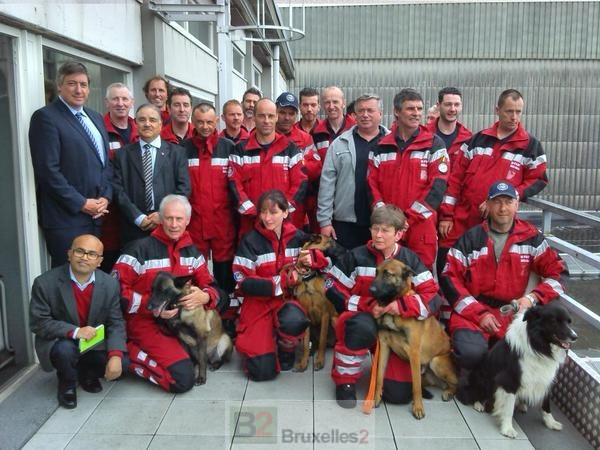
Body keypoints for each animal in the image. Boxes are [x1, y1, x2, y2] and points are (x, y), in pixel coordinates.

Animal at [286, 234, 346, 370]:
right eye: (331, 242)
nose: (346, 251)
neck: (308, 278)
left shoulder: (325, 315)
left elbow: (323, 340)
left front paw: (320, 361)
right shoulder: (306, 316)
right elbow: (305, 344)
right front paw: (304, 362)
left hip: (334, 320)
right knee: (311, 342)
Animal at [368, 258, 458, 420]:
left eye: (388, 274)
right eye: (376, 272)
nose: (370, 290)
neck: (393, 307)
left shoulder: (414, 353)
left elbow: (416, 387)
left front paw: (418, 408)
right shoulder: (384, 346)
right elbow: (379, 376)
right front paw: (377, 397)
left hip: (436, 361)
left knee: (456, 383)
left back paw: (448, 392)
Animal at [460, 300, 576, 438]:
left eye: (569, 321)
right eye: (553, 321)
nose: (575, 337)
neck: (538, 345)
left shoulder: (545, 379)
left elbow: (546, 404)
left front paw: (551, 423)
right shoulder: (509, 380)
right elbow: (508, 408)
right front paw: (508, 429)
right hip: (482, 378)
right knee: (473, 392)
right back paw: (479, 404)